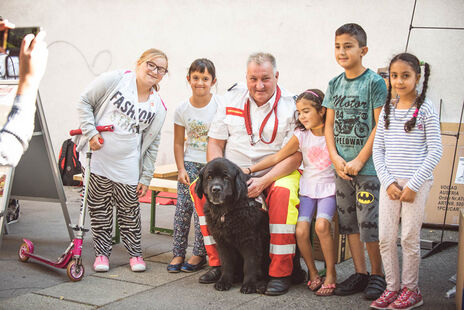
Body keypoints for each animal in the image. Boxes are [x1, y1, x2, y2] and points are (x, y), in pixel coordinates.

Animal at [194, 157, 270, 294]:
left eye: (226, 177)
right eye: (209, 177)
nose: (216, 189)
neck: (226, 211)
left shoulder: (251, 241)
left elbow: (250, 264)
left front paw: (249, 285)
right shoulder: (222, 241)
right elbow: (227, 263)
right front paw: (224, 282)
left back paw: (262, 285)